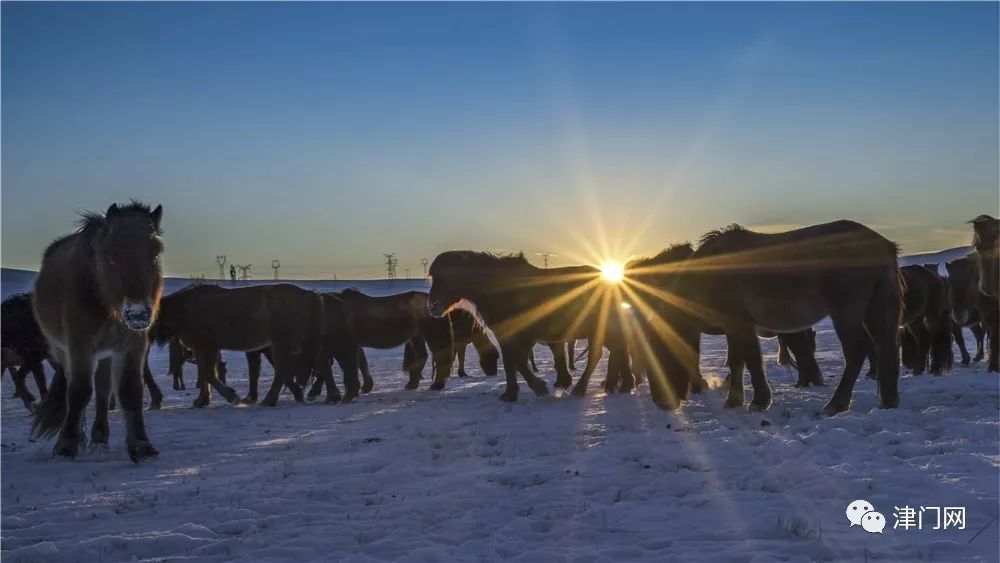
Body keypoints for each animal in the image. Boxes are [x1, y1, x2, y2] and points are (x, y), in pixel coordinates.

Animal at [30, 203, 162, 462]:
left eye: (154, 255)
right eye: (109, 257)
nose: (138, 313)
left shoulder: (132, 346)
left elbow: (130, 390)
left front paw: (141, 445)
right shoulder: (80, 345)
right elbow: (79, 391)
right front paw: (67, 444)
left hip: (106, 354)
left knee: (102, 389)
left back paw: (100, 437)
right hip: (64, 351)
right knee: (75, 387)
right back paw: (80, 436)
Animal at [150, 284, 322, 408]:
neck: (181, 309)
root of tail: (307, 295)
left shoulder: (206, 347)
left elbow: (208, 374)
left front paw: (231, 396)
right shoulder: (203, 349)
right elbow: (205, 374)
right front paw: (202, 400)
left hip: (281, 343)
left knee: (281, 371)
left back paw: (270, 400)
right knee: (284, 371)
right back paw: (293, 394)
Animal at [426, 253, 628, 404]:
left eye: (445, 277)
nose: (432, 306)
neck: (502, 290)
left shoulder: (523, 336)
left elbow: (519, 362)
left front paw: (539, 388)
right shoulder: (506, 336)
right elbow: (511, 362)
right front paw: (510, 394)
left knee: (599, 355)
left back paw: (583, 388)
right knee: (614, 352)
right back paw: (616, 386)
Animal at [624, 223, 900, 416]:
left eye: (660, 351)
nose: (661, 402)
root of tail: (880, 244)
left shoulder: (740, 323)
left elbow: (750, 359)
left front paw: (759, 401)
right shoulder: (733, 327)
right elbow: (735, 360)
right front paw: (734, 399)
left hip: (846, 312)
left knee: (857, 351)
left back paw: (837, 404)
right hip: (877, 310)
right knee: (884, 348)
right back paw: (887, 400)